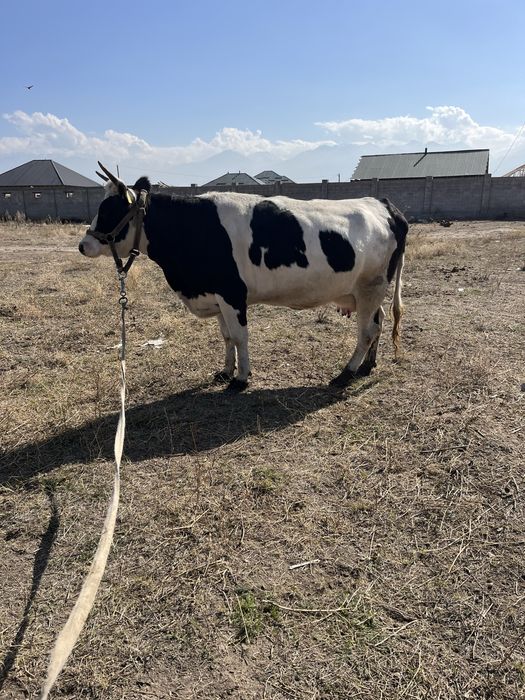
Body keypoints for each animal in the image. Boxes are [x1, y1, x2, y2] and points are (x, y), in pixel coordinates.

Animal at [79, 164, 408, 390]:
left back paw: (346, 372)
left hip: (371, 286)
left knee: (367, 330)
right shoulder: (216, 296)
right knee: (378, 322)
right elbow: (226, 336)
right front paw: (226, 371)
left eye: (109, 210)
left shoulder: (232, 294)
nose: (83, 245)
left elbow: (239, 336)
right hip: (367, 290)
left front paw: (240, 379)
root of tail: (384, 203)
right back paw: (367, 365)